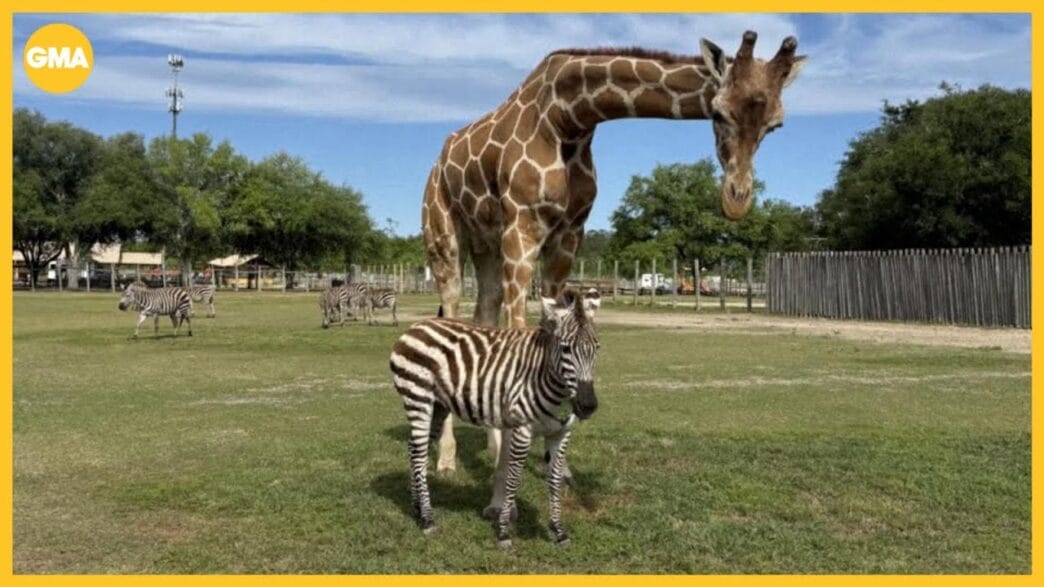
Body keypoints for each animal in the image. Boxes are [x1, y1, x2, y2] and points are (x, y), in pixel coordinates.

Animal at [389, 288, 600, 547]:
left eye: (597, 348)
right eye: (566, 349)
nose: (587, 406)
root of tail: (417, 326)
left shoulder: (560, 434)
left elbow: (554, 480)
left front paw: (558, 531)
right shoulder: (522, 430)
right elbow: (514, 478)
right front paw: (503, 531)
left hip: (438, 407)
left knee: (413, 449)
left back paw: (416, 508)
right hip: (417, 399)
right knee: (419, 456)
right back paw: (428, 519)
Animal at [421, 30, 805, 511]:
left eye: (777, 124)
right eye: (717, 112)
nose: (736, 200)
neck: (570, 119)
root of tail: (438, 161)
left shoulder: (569, 234)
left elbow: (553, 327)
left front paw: (556, 467)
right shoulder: (522, 228)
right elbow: (522, 330)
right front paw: (500, 484)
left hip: (485, 245)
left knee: (483, 313)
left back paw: (490, 447)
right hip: (445, 237)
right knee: (454, 310)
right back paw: (447, 459)